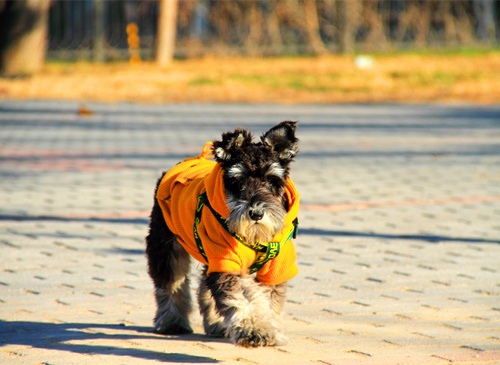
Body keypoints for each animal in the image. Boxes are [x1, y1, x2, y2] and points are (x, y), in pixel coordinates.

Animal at [145, 121, 300, 346]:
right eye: (238, 181)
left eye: (272, 180)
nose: (256, 213)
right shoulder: (226, 262)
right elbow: (243, 295)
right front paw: (254, 330)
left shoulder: (275, 268)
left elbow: (270, 299)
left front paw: (270, 329)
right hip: (165, 245)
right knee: (171, 283)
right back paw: (171, 321)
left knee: (204, 287)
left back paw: (216, 325)